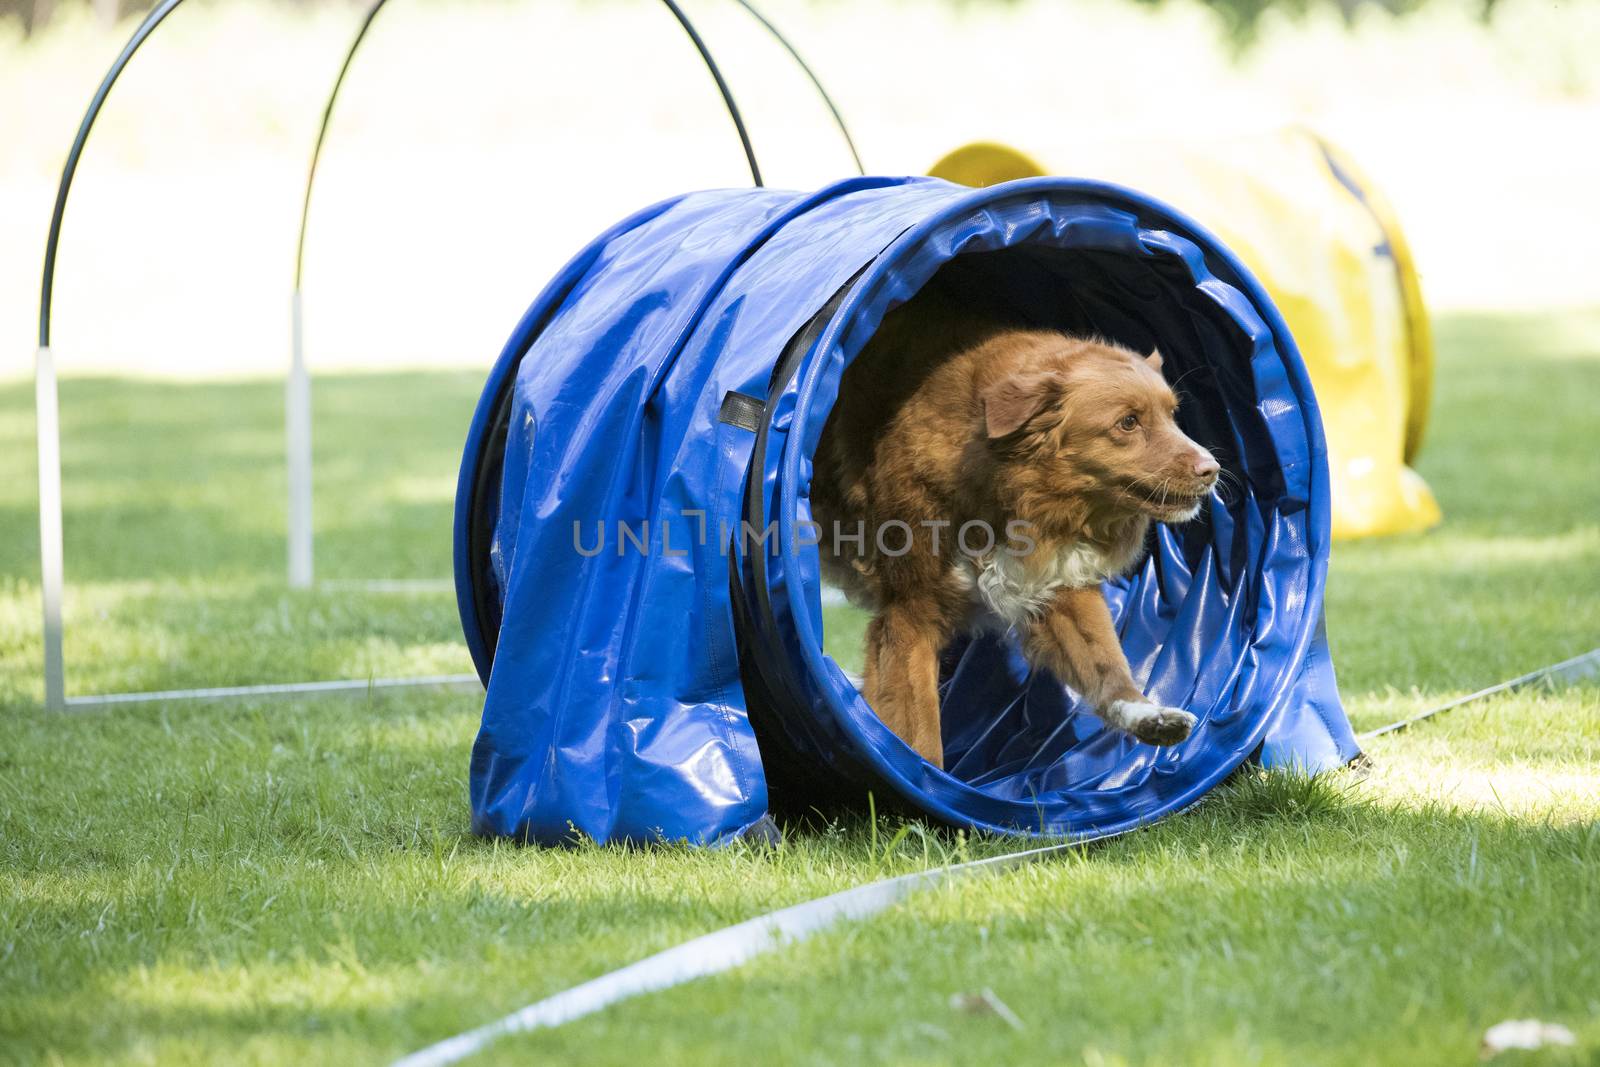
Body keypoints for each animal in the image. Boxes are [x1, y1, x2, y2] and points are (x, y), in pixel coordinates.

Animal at [819, 287, 1216, 767]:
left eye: (1173, 415)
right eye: (1128, 422)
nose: (1212, 470)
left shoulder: (1055, 585)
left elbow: (1104, 659)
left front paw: (1146, 713)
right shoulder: (909, 616)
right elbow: (921, 735)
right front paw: (922, 782)